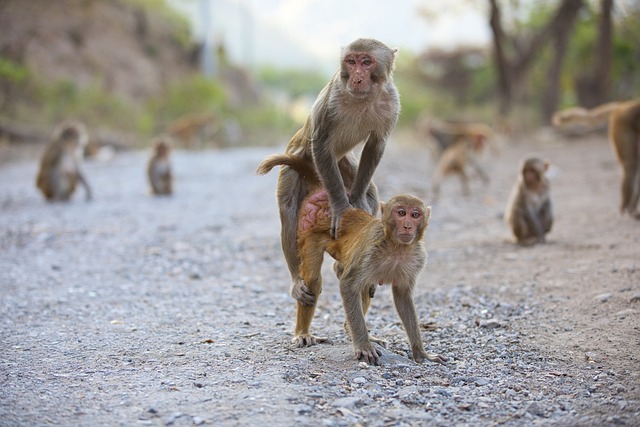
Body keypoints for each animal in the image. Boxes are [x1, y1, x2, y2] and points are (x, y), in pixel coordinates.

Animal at [256, 37, 400, 310]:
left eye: (367, 62)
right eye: (351, 61)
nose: (356, 77)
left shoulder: (391, 102)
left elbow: (375, 145)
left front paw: (356, 202)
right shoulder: (332, 99)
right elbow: (322, 143)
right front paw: (342, 209)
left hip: (343, 165)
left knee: (371, 190)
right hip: (297, 165)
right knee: (289, 211)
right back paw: (297, 279)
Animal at [258, 152, 448, 366]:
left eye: (415, 215)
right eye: (401, 213)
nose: (407, 225)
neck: (396, 247)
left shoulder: (417, 259)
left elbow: (402, 296)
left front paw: (421, 353)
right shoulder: (369, 251)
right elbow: (348, 286)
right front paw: (364, 347)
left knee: (364, 286)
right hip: (309, 230)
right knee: (314, 281)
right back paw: (303, 333)